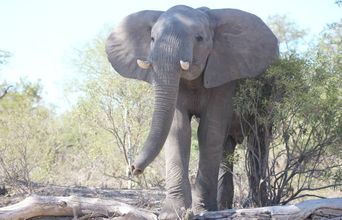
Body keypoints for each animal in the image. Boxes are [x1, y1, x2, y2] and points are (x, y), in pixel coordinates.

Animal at [105, 4, 280, 218]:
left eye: (199, 38)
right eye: (152, 39)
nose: (133, 169)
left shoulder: (224, 76)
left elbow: (208, 131)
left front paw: (202, 210)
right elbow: (179, 130)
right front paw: (173, 214)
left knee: (258, 142)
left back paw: (255, 204)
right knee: (227, 147)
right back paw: (224, 207)